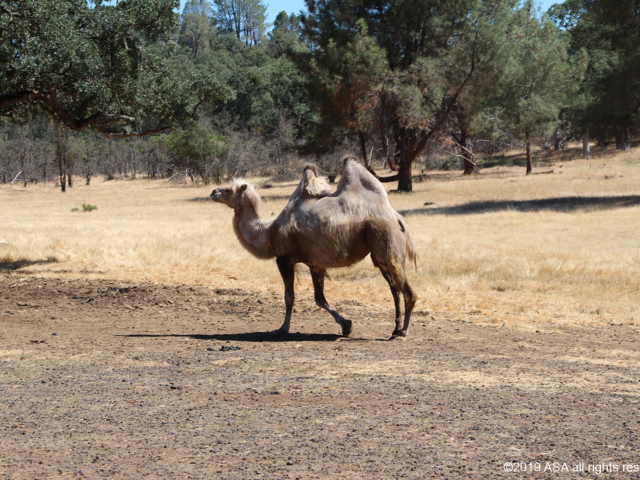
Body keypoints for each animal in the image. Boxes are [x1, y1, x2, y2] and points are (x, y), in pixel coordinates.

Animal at [210, 156, 420, 340]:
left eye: (228, 189)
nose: (213, 192)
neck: (268, 232)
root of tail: (396, 217)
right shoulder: (315, 263)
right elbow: (319, 298)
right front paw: (346, 325)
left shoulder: (284, 259)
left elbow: (290, 297)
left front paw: (282, 329)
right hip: (378, 253)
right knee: (395, 289)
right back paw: (395, 329)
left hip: (386, 241)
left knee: (408, 292)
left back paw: (404, 332)